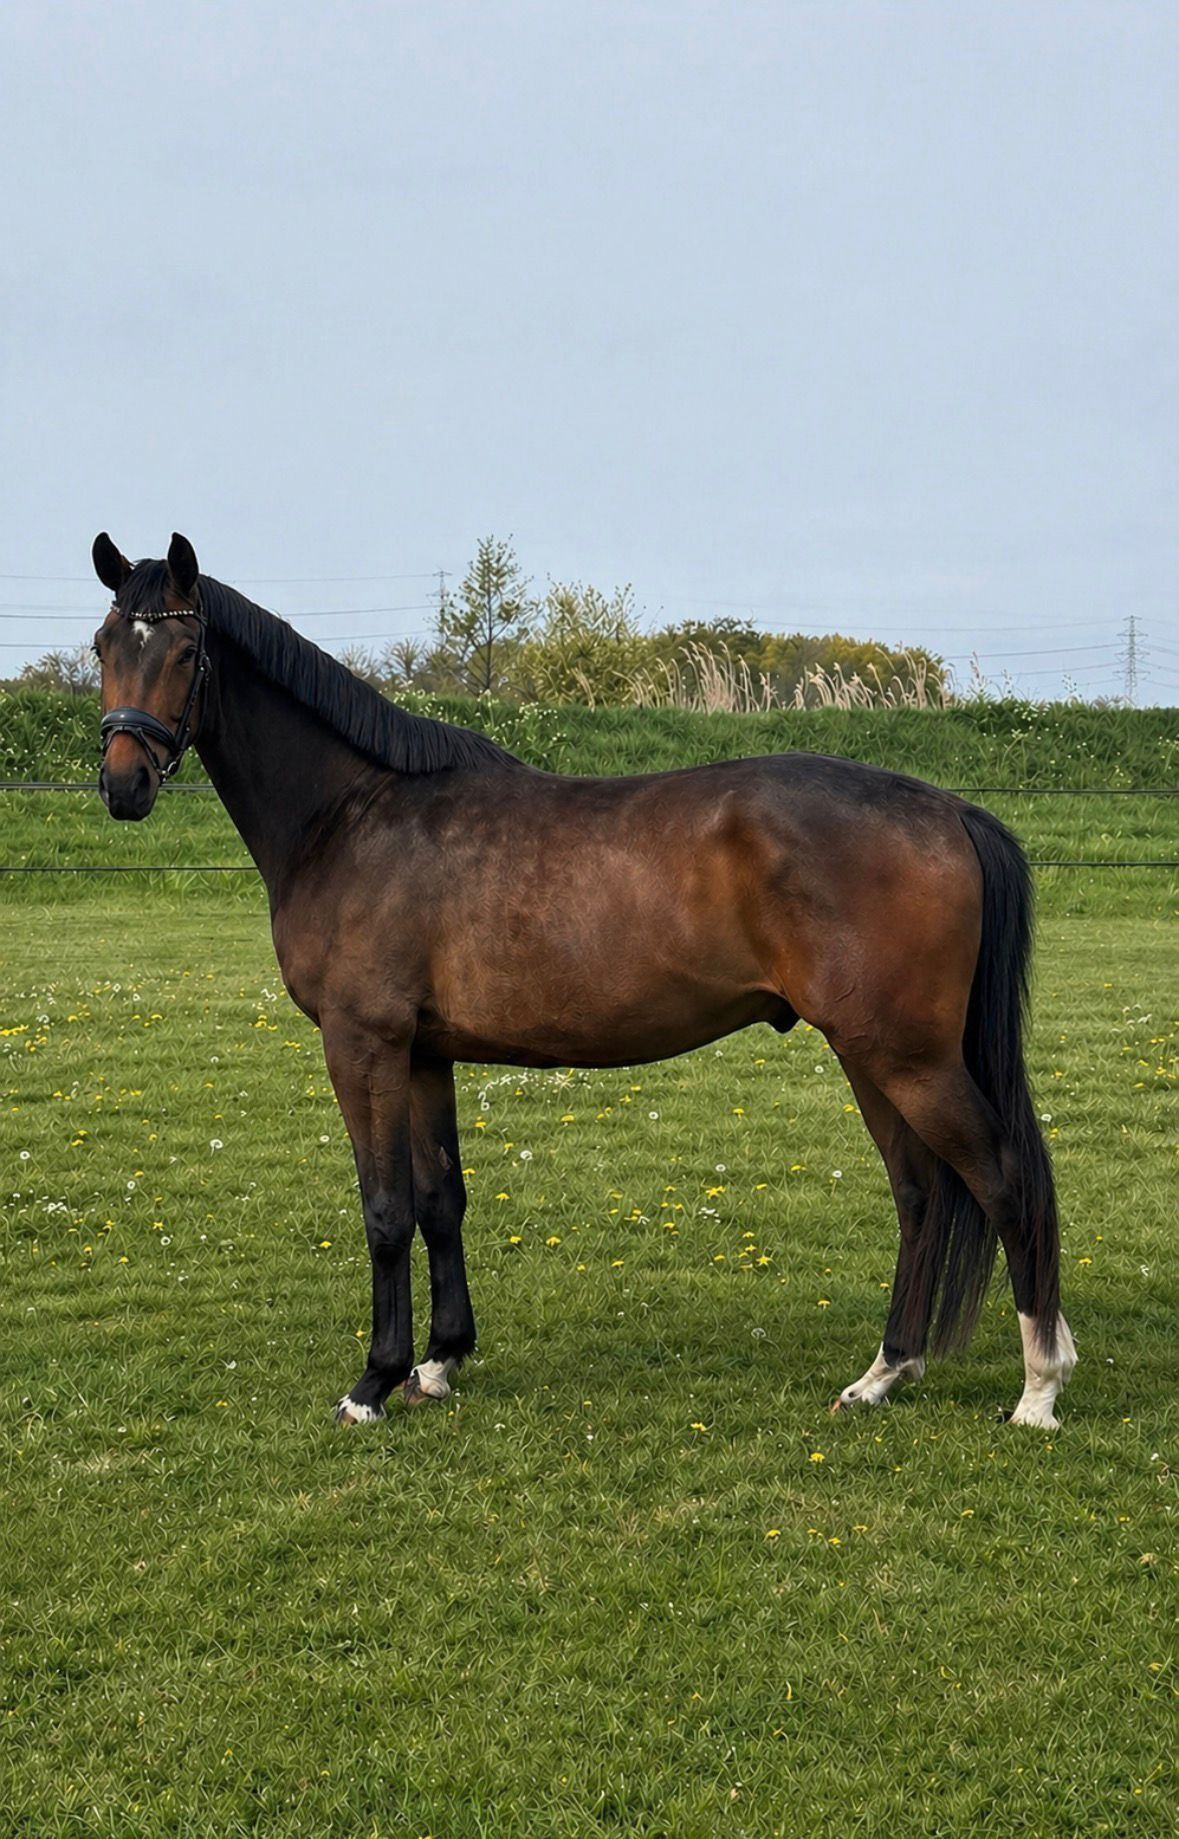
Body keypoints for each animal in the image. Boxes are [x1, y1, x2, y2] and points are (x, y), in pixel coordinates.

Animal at [91, 532, 1077, 1429]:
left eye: (184, 653)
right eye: (103, 645)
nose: (122, 786)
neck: (354, 814)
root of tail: (948, 809)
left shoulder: (362, 1044)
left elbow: (384, 1210)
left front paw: (373, 1381)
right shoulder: (423, 1054)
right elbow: (440, 1200)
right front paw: (440, 1361)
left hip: (907, 1057)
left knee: (1002, 1182)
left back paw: (1036, 1388)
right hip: (870, 1054)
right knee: (919, 1195)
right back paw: (884, 1372)